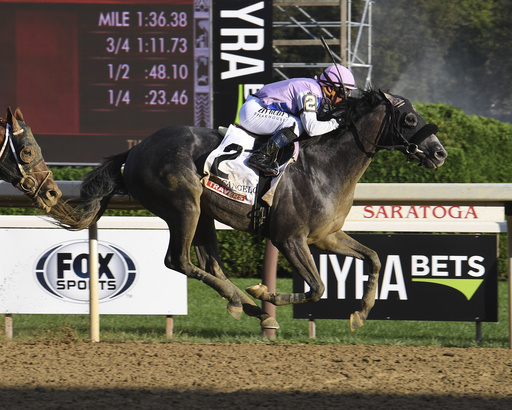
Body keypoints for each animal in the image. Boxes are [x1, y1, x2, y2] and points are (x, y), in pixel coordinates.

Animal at [50, 91, 446, 332]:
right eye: (410, 119)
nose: (440, 153)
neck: (324, 167)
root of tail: (134, 151)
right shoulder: (289, 238)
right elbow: (317, 287)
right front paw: (266, 293)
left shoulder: (326, 236)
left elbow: (375, 257)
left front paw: (360, 313)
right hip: (184, 205)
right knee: (179, 260)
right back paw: (250, 304)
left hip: (203, 213)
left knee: (208, 264)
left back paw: (248, 308)